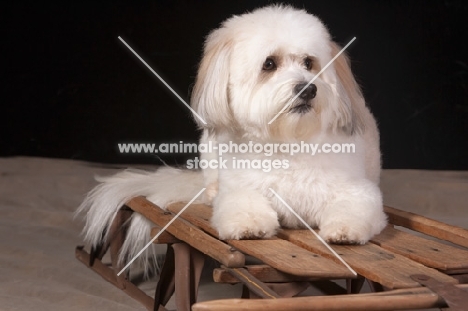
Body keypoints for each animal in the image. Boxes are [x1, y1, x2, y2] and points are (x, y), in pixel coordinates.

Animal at [78, 4, 388, 268]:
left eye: (309, 63)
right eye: (269, 64)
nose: (308, 88)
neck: (286, 143)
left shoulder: (359, 191)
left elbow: (353, 207)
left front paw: (344, 230)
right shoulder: (241, 188)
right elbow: (243, 203)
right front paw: (249, 225)